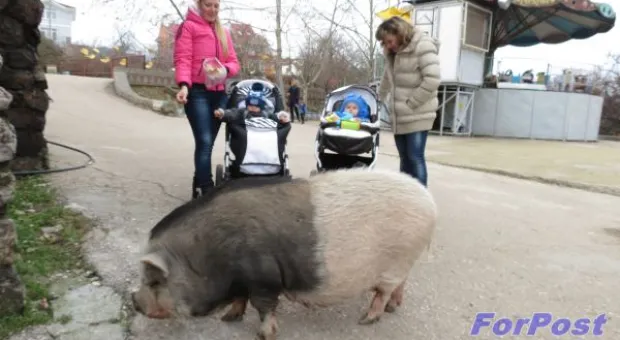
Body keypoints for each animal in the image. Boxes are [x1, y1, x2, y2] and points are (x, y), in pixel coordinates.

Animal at [133, 168, 438, 340]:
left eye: (155, 281)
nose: (134, 300)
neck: (208, 255)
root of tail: (430, 202)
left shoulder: (264, 278)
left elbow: (264, 306)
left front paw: (263, 335)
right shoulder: (244, 280)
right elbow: (241, 300)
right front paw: (228, 319)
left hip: (397, 260)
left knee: (383, 292)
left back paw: (367, 319)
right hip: (401, 264)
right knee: (399, 286)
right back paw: (392, 308)